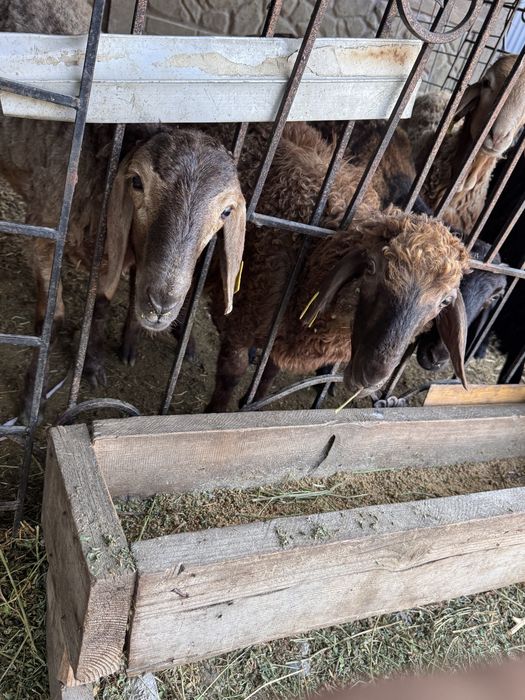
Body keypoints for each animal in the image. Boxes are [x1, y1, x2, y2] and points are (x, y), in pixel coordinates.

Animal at [0, 0, 246, 412]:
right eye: (137, 182)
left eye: (226, 212)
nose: (161, 303)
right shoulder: (46, 230)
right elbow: (50, 319)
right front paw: (32, 392)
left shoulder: (115, 258)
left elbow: (99, 307)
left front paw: (93, 364)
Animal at [206, 123, 469, 412]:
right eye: (372, 268)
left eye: (444, 302)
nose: (371, 377)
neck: (309, 259)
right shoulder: (237, 319)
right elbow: (231, 374)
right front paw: (214, 411)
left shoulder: (284, 334)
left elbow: (270, 372)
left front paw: (253, 400)